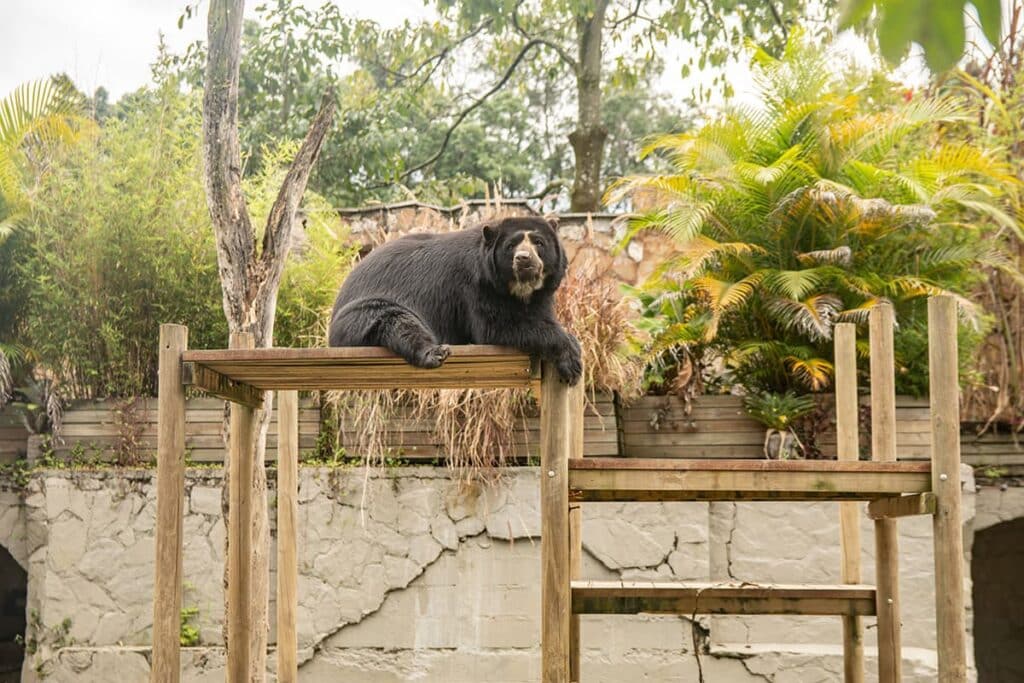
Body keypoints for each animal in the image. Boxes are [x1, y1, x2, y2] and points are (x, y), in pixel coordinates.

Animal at [327, 216, 585, 385]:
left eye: (538, 242)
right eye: (511, 245)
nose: (524, 260)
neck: (518, 288)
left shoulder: (541, 294)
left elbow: (538, 316)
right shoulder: (476, 286)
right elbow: (497, 326)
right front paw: (571, 358)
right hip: (359, 312)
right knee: (397, 321)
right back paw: (434, 353)